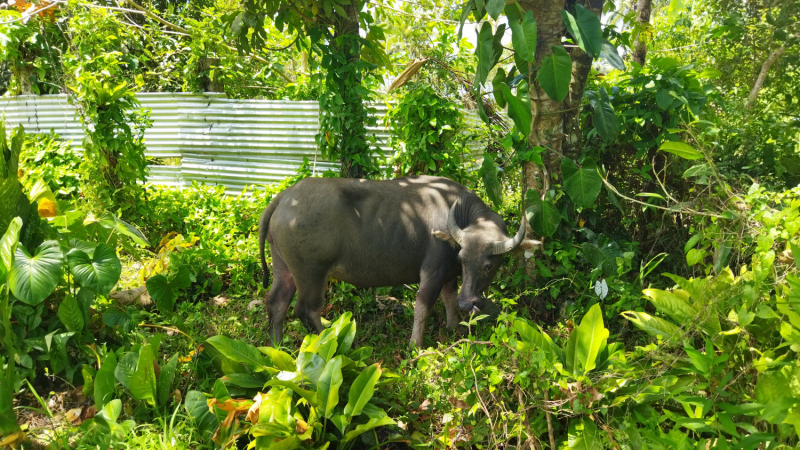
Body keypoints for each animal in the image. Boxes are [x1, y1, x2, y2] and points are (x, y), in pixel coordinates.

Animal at [260, 174, 540, 346]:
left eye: (488, 265)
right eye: (463, 258)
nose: (467, 302)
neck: (458, 209)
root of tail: (284, 197)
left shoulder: (449, 275)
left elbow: (448, 298)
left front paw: (453, 327)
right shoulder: (433, 272)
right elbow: (423, 307)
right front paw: (416, 344)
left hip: (283, 266)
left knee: (276, 302)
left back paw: (277, 346)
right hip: (311, 273)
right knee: (306, 309)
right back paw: (333, 342)